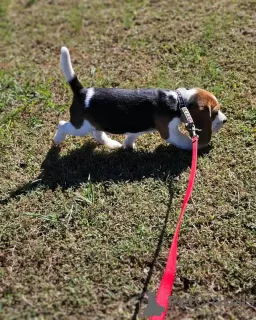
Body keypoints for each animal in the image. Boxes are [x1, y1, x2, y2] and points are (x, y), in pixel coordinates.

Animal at [53, 46, 226, 150]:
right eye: (214, 113)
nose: (225, 120)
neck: (178, 102)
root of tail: (82, 92)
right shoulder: (169, 132)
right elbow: (183, 140)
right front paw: (194, 146)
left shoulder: (137, 127)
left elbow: (131, 135)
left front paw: (128, 146)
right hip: (80, 127)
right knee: (62, 125)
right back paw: (57, 140)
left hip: (95, 124)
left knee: (97, 133)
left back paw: (112, 144)